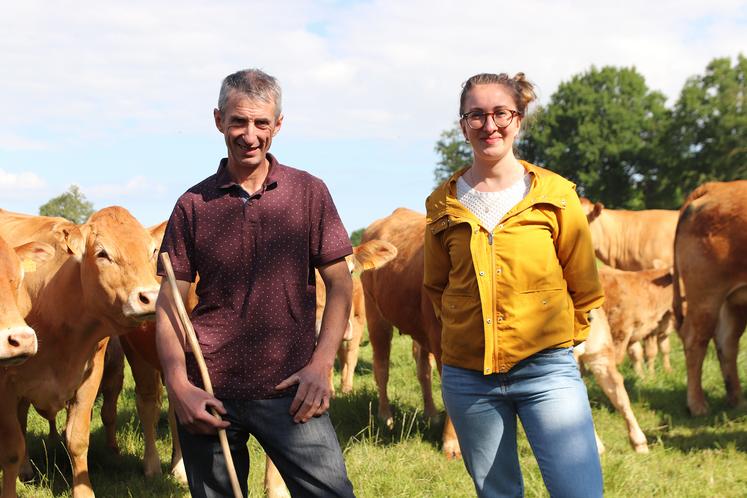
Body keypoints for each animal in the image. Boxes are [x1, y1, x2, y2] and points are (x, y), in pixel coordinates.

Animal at [0, 208, 161, 498]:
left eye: (152, 251)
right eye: (102, 253)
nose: (150, 297)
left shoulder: (90, 378)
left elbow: (77, 439)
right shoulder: (6, 386)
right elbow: (11, 450)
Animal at [358, 206, 462, 460]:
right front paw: (452, 443)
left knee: (423, 370)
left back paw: (432, 414)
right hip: (375, 315)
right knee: (381, 367)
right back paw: (385, 417)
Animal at [672, 180, 747, 416]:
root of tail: (716, 186)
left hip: (733, 301)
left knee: (727, 342)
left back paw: (737, 402)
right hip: (706, 294)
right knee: (695, 340)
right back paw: (697, 406)